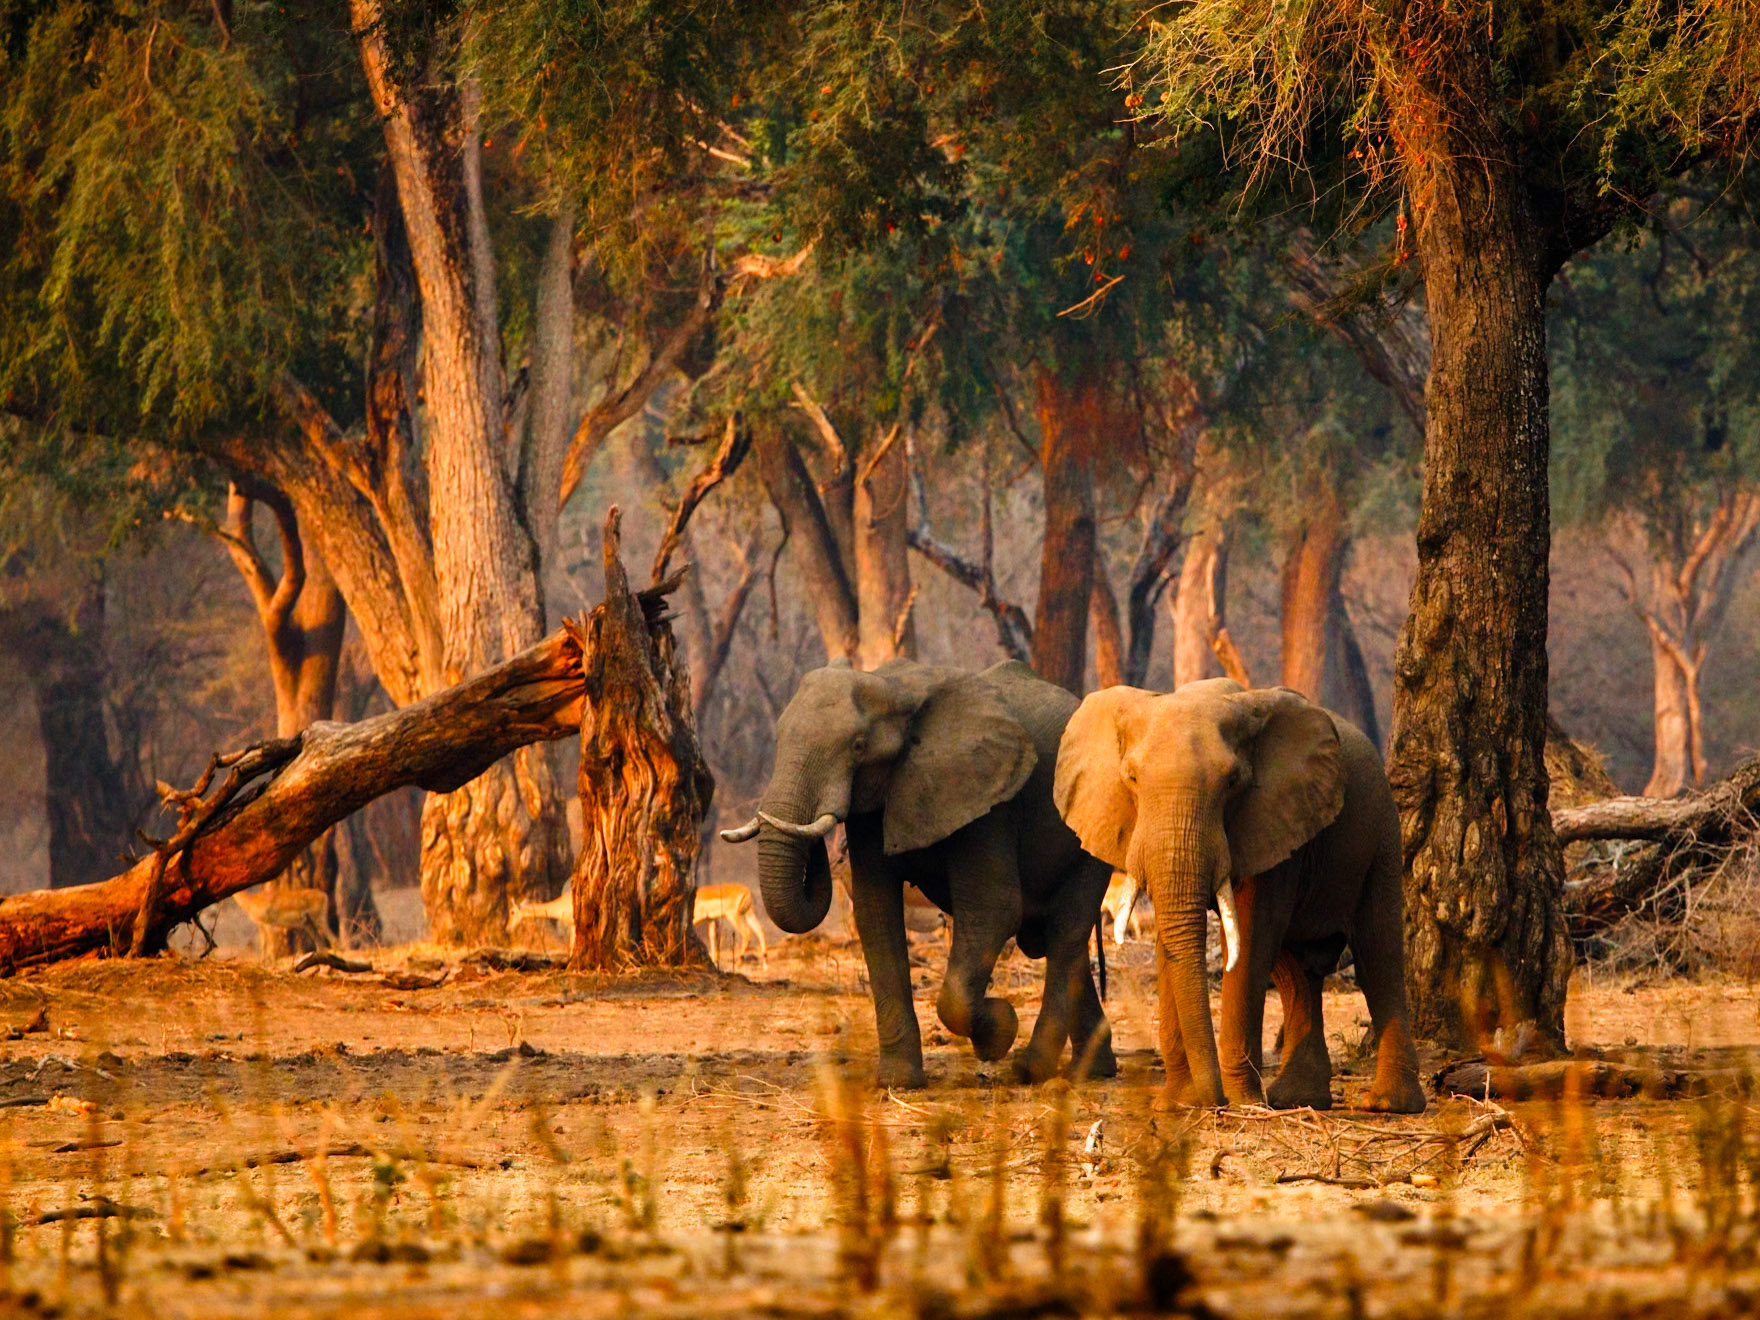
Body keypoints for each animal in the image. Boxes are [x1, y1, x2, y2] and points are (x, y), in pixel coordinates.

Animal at [720, 658, 1116, 1088]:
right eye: (778, 740)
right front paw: (899, 1082)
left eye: (858, 746)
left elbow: (994, 910)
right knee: (1056, 938)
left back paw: (1031, 1070)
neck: (895, 688)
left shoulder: (985, 798)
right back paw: (1093, 1071)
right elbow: (876, 914)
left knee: (1064, 932)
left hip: (1096, 823)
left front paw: (999, 1031)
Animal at [1052, 678, 1425, 1113]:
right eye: (1131, 778)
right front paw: (1178, 1103)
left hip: (1382, 834)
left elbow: (1248, 940)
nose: (1210, 1101)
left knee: (1377, 957)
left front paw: (1241, 1103)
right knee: (1297, 971)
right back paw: (1298, 1099)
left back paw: (1386, 1104)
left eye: (1232, 782)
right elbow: (1175, 936)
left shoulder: (1274, 817)